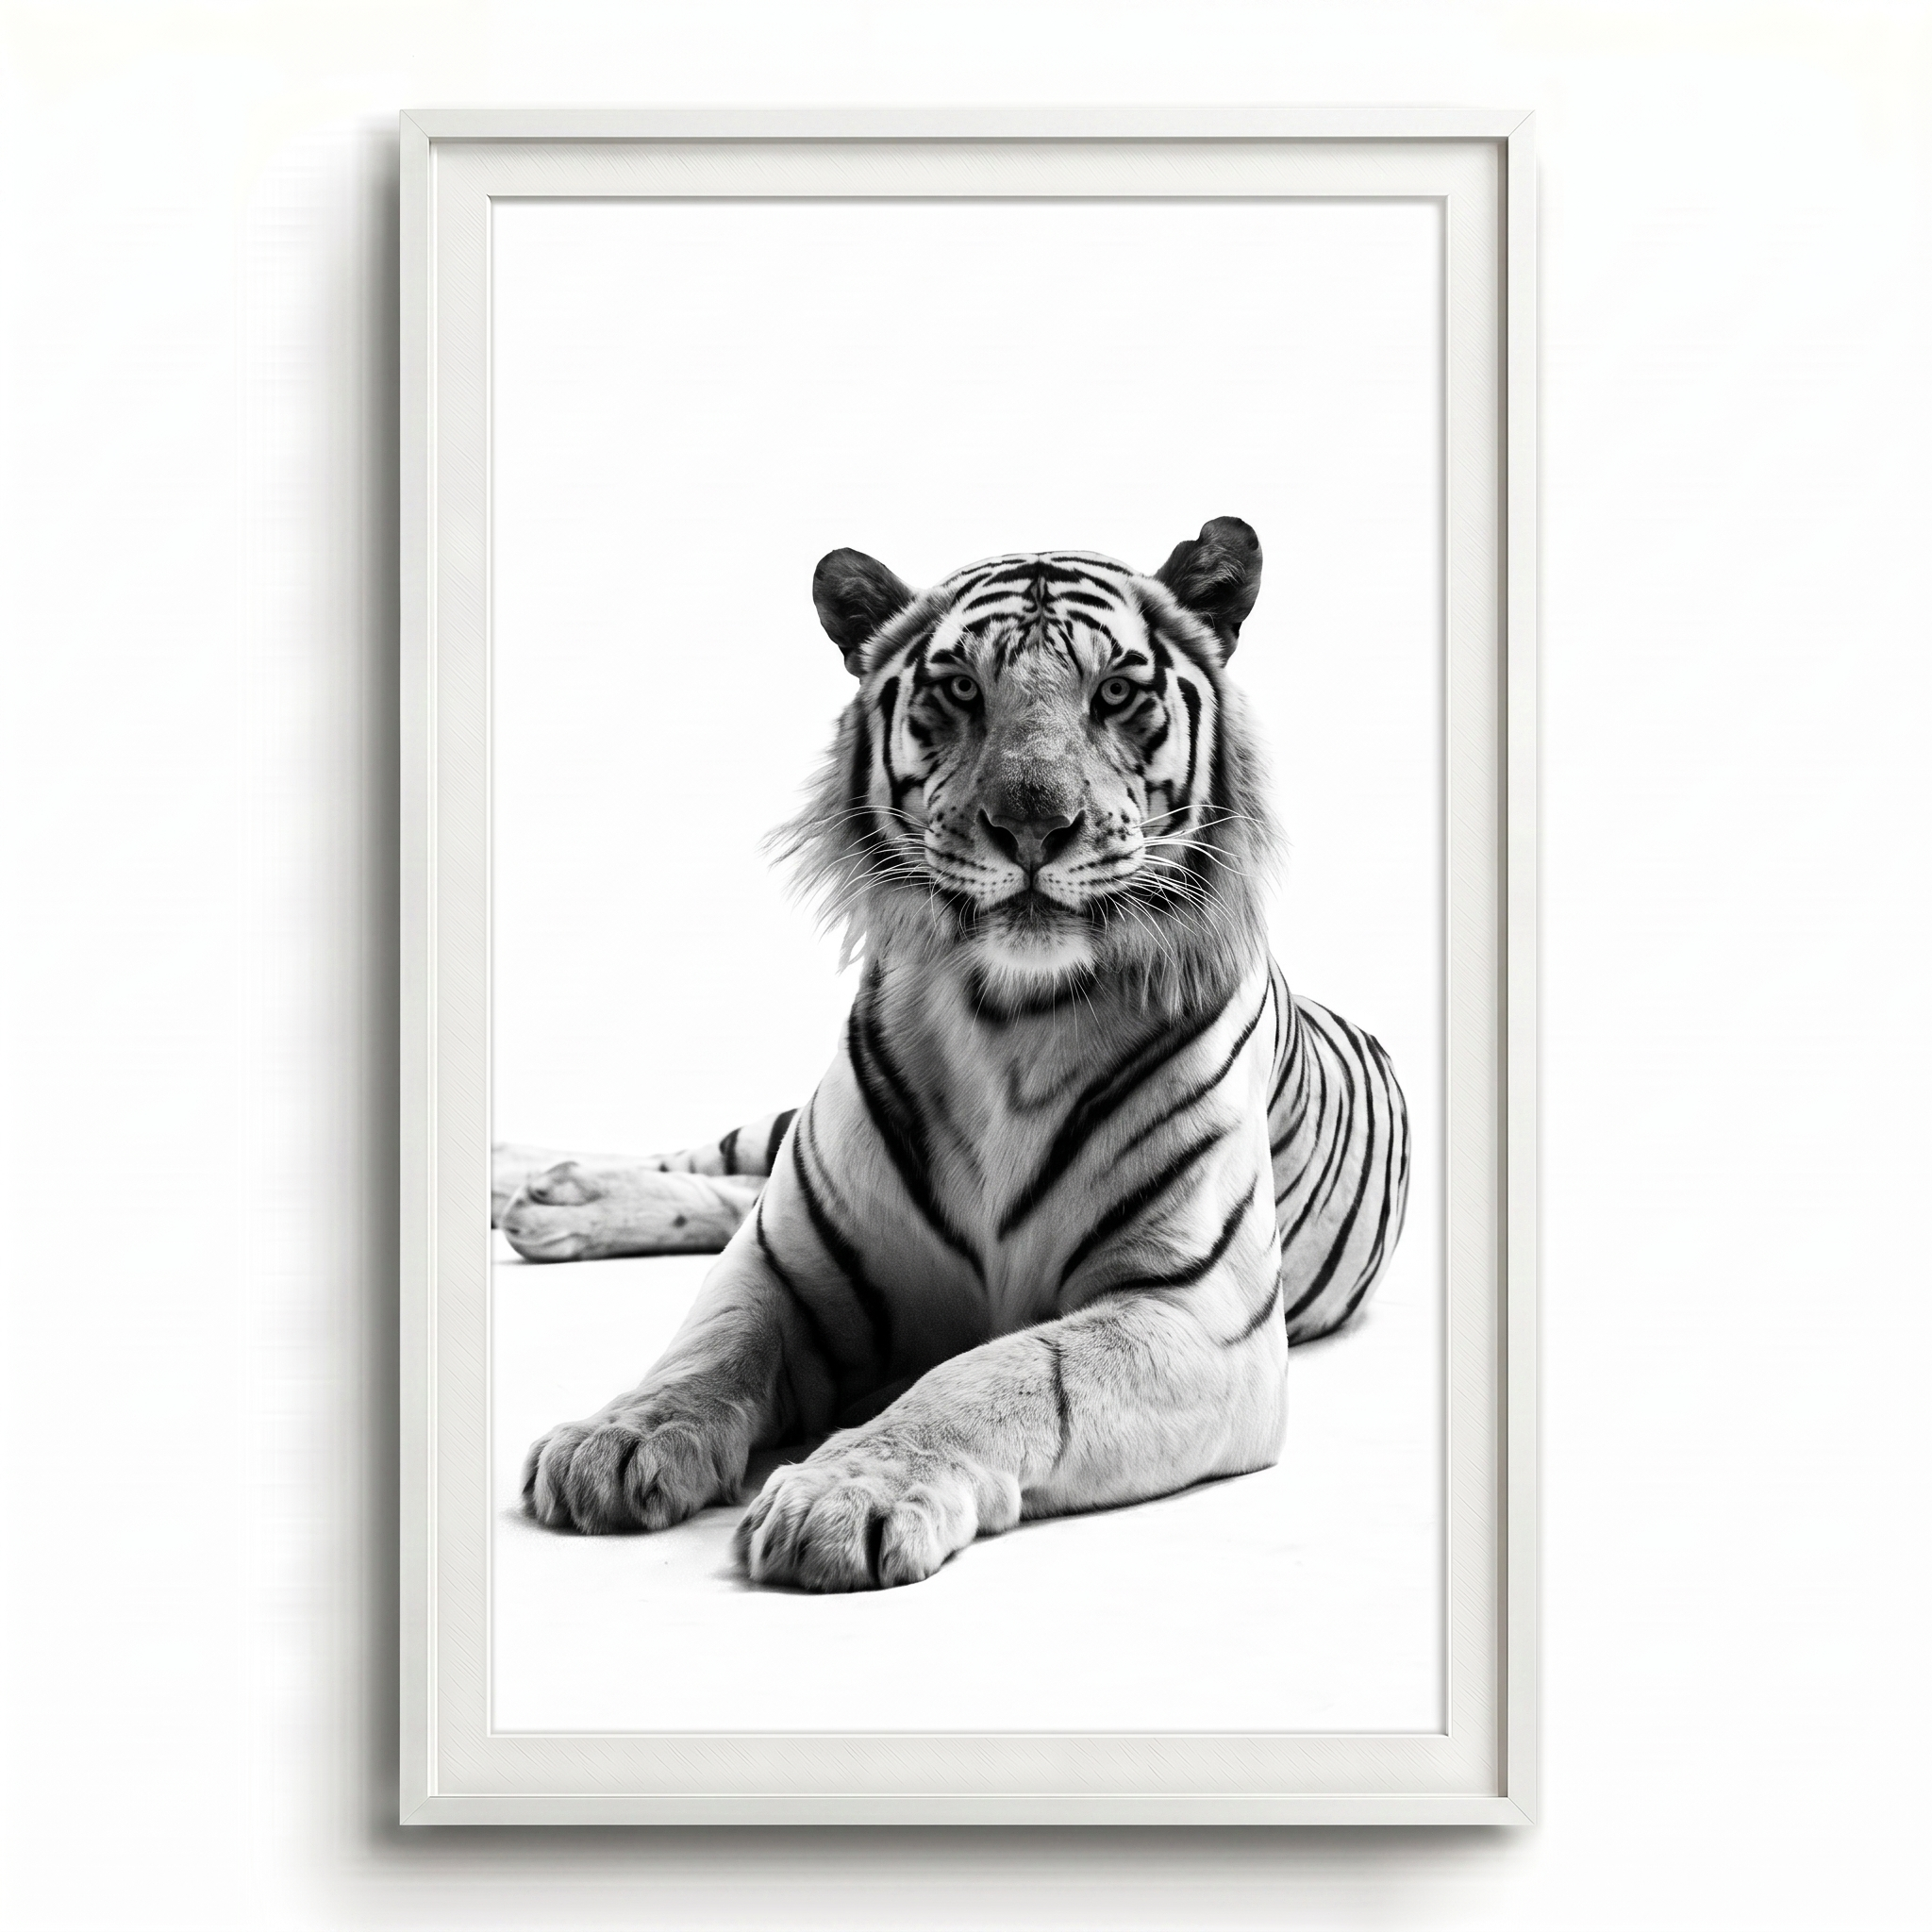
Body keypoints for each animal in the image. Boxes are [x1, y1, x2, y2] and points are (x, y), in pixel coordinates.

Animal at [502, 517, 1410, 1591]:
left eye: (1114, 693)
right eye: (962, 691)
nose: (1031, 824)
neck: (1008, 1019)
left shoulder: (1190, 1312)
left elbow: (997, 1374)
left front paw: (847, 1492)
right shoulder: (783, 1260)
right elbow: (706, 1349)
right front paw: (615, 1439)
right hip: (775, 1141)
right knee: (713, 1166)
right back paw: (534, 1183)